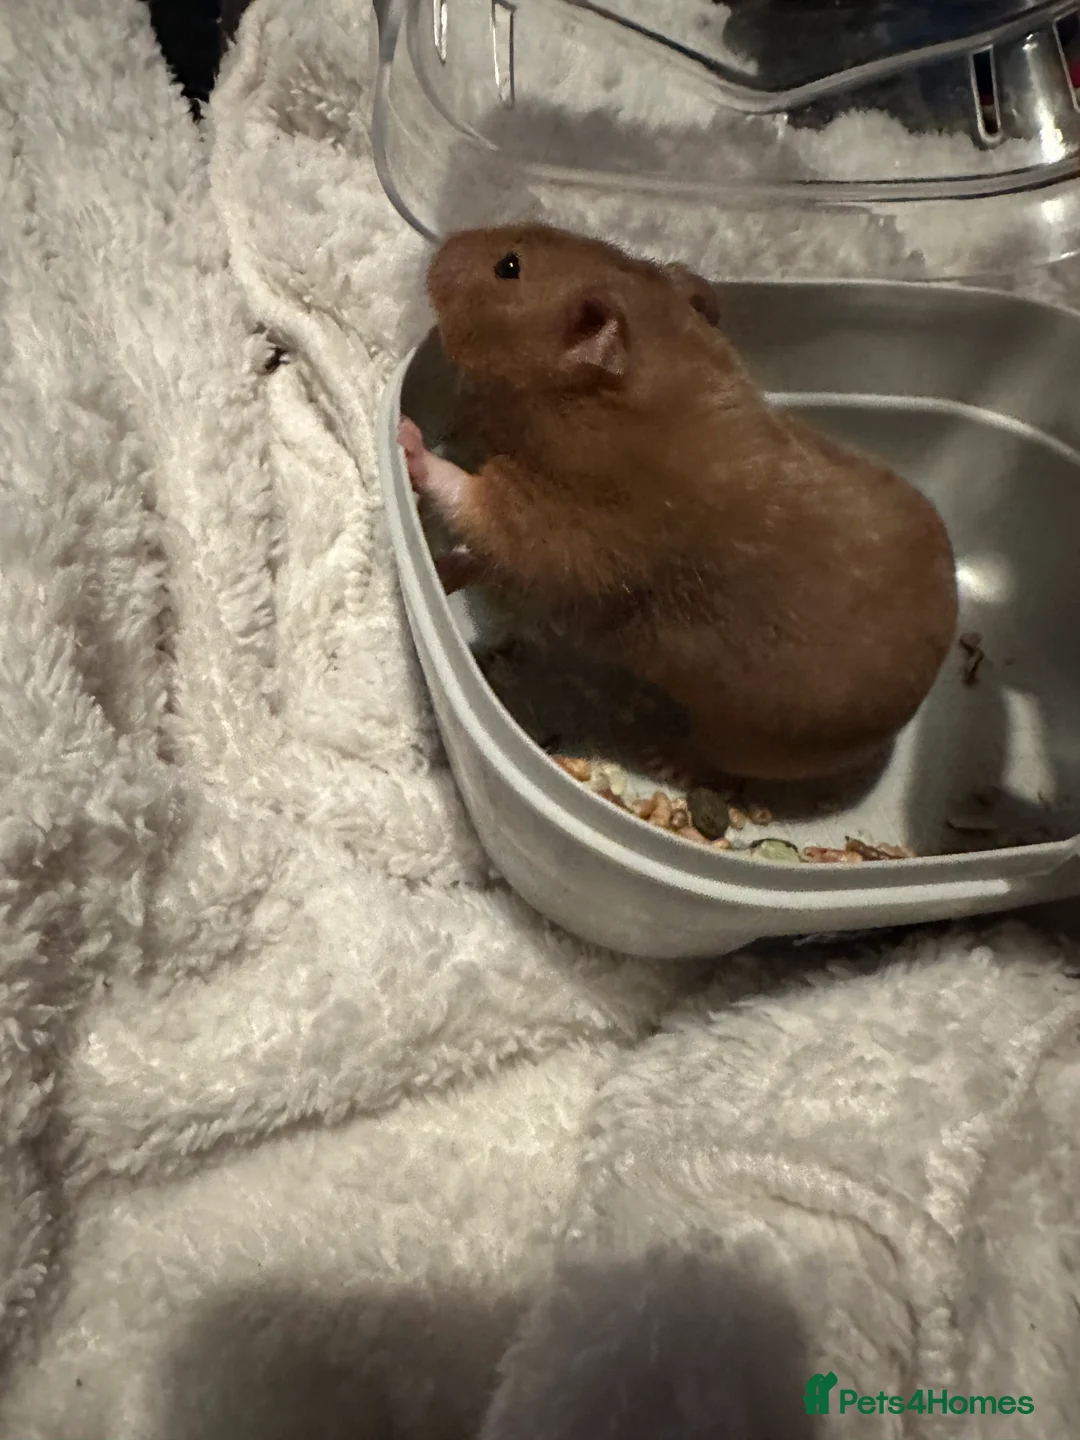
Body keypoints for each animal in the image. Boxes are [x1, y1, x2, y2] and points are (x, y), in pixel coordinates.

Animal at [398, 223, 958, 785]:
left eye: (508, 267)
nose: (442, 248)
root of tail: (921, 693)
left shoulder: (572, 523)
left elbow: (476, 501)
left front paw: (407, 438)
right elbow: (479, 556)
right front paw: (442, 567)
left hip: (743, 738)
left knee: (706, 754)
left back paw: (662, 759)